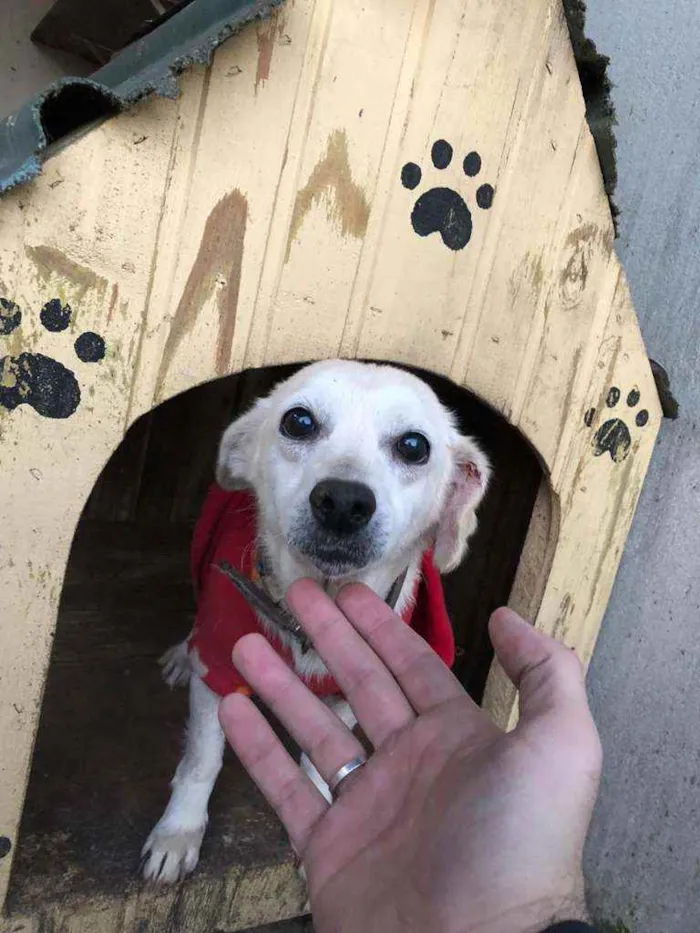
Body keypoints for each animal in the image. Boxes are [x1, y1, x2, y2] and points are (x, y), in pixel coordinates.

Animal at [142, 360, 490, 884]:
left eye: (414, 446)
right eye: (299, 422)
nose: (344, 501)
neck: (313, 609)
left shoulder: (342, 691)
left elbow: (322, 755)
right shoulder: (220, 667)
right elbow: (202, 758)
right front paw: (177, 833)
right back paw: (183, 657)